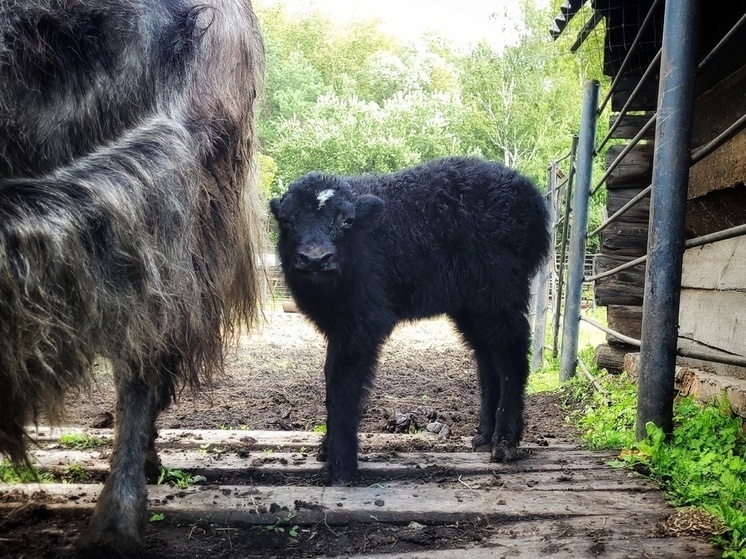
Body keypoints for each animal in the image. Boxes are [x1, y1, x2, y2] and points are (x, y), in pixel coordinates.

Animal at [270, 158, 548, 486]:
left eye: (347, 221)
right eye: (287, 221)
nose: (315, 259)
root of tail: (531, 196)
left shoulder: (364, 323)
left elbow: (343, 383)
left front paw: (341, 467)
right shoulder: (339, 328)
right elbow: (330, 378)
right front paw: (327, 450)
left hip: (501, 295)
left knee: (510, 355)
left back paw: (505, 442)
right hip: (472, 306)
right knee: (487, 356)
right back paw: (484, 436)